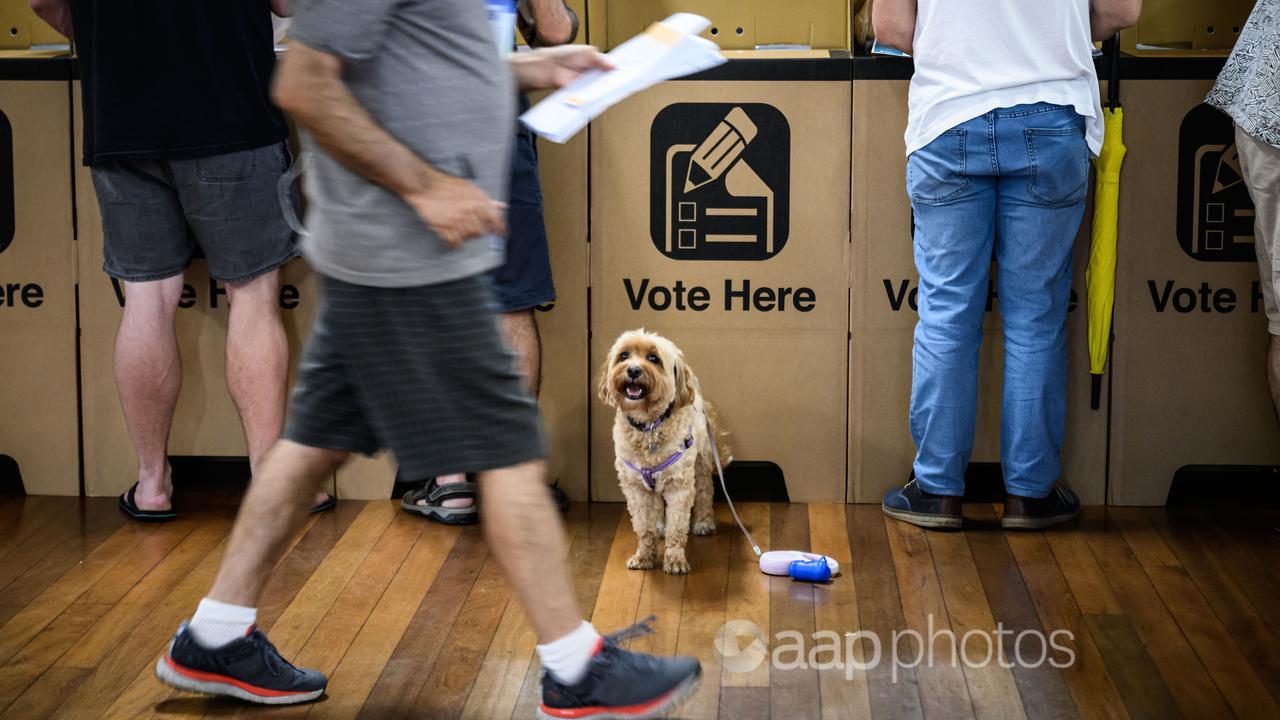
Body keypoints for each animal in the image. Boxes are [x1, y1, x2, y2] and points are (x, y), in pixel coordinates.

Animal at [599, 330, 732, 571]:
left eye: (653, 358)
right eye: (624, 355)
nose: (633, 370)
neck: (649, 427)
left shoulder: (679, 485)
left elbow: (677, 526)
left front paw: (675, 559)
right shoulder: (636, 489)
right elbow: (644, 527)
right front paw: (644, 556)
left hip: (701, 462)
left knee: (705, 491)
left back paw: (704, 522)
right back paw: (660, 525)